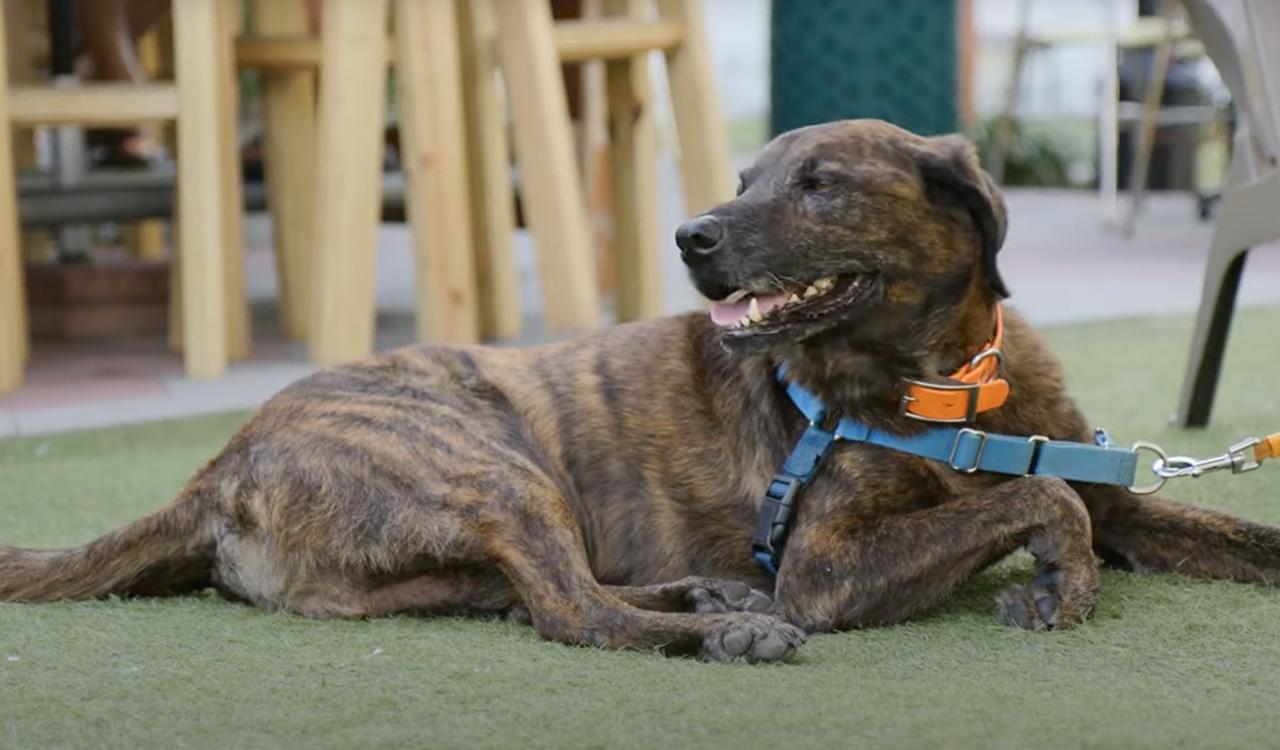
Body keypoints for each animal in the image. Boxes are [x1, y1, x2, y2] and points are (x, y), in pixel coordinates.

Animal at [2, 118, 1280, 660]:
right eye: (744, 176)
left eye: (817, 182)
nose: (690, 236)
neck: (950, 398)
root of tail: (217, 462)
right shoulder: (824, 569)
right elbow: (1036, 502)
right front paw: (1060, 585)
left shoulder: (1110, 489)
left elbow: (1169, 518)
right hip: (488, 464)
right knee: (570, 612)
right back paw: (726, 631)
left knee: (526, 598)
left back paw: (705, 599)